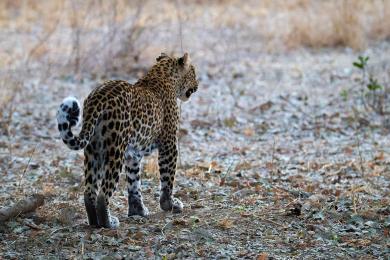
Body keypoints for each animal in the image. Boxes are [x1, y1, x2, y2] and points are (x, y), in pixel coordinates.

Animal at [55, 52, 198, 228]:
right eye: (193, 72)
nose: (197, 85)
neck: (163, 75)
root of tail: (97, 99)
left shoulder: (133, 154)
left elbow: (134, 183)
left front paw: (138, 211)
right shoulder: (169, 144)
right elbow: (167, 178)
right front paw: (170, 204)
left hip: (93, 150)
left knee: (89, 191)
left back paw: (94, 222)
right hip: (115, 150)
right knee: (103, 194)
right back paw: (109, 222)